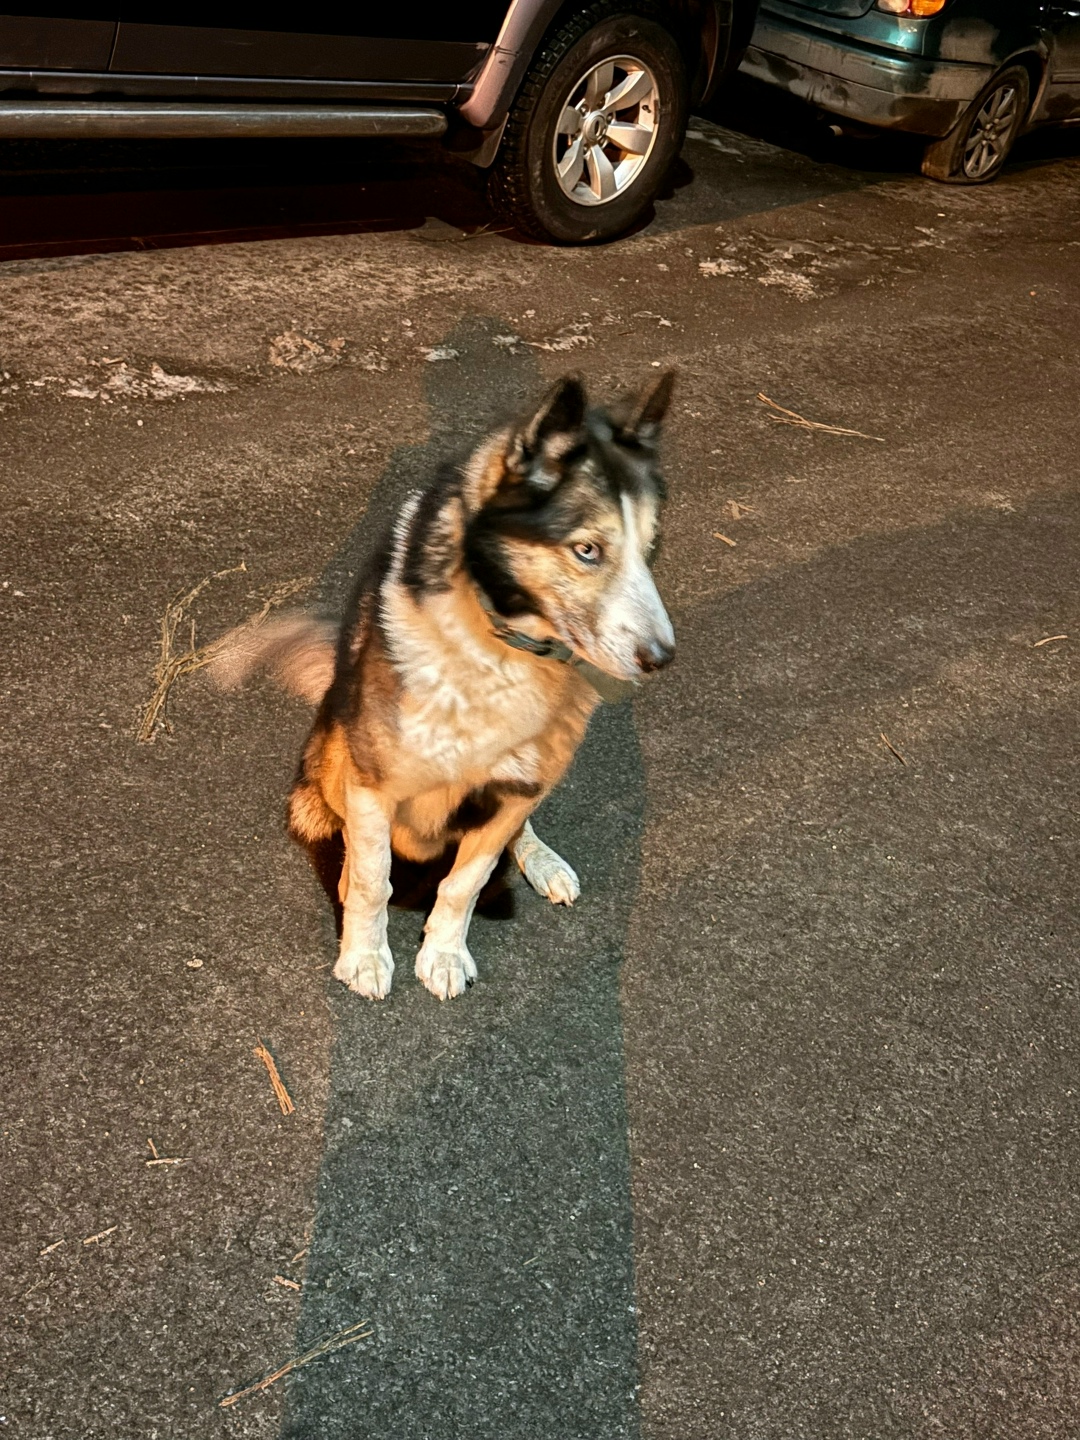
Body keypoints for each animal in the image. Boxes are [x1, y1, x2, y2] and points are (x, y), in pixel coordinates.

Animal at [212, 370, 676, 1000]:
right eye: (587, 550)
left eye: (649, 551)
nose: (662, 658)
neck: (498, 646)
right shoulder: (372, 783)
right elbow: (373, 880)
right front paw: (364, 953)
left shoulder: (513, 792)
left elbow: (465, 884)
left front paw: (445, 954)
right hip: (332, 756)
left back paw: (542, 860)